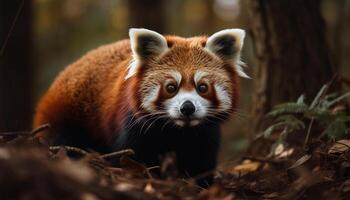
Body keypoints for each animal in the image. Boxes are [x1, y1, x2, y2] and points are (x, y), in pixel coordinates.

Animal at [32, 28, 246, 186]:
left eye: (203, 87)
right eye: (171, 87)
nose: (187, 108)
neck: (177, 131)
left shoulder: (205, 134)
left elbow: (201, 161)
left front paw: (201, 183)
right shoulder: (132, 124)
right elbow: (131, 155)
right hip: (64, 115)